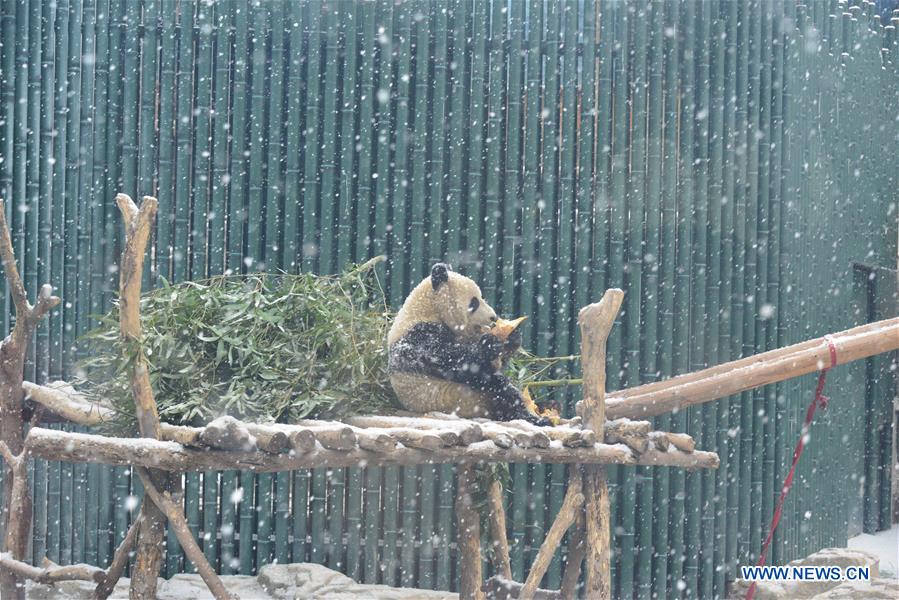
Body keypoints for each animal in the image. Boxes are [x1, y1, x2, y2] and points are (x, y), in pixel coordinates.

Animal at [390, 262, 552, 426]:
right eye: (474, 302)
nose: (493, 317)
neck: (428, 308)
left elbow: (496, 364)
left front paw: (511, 336)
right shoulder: (420, 337)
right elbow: (459, 363)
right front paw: (489, 345)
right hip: (457, 398)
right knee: (496, 387)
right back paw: (531, 417)